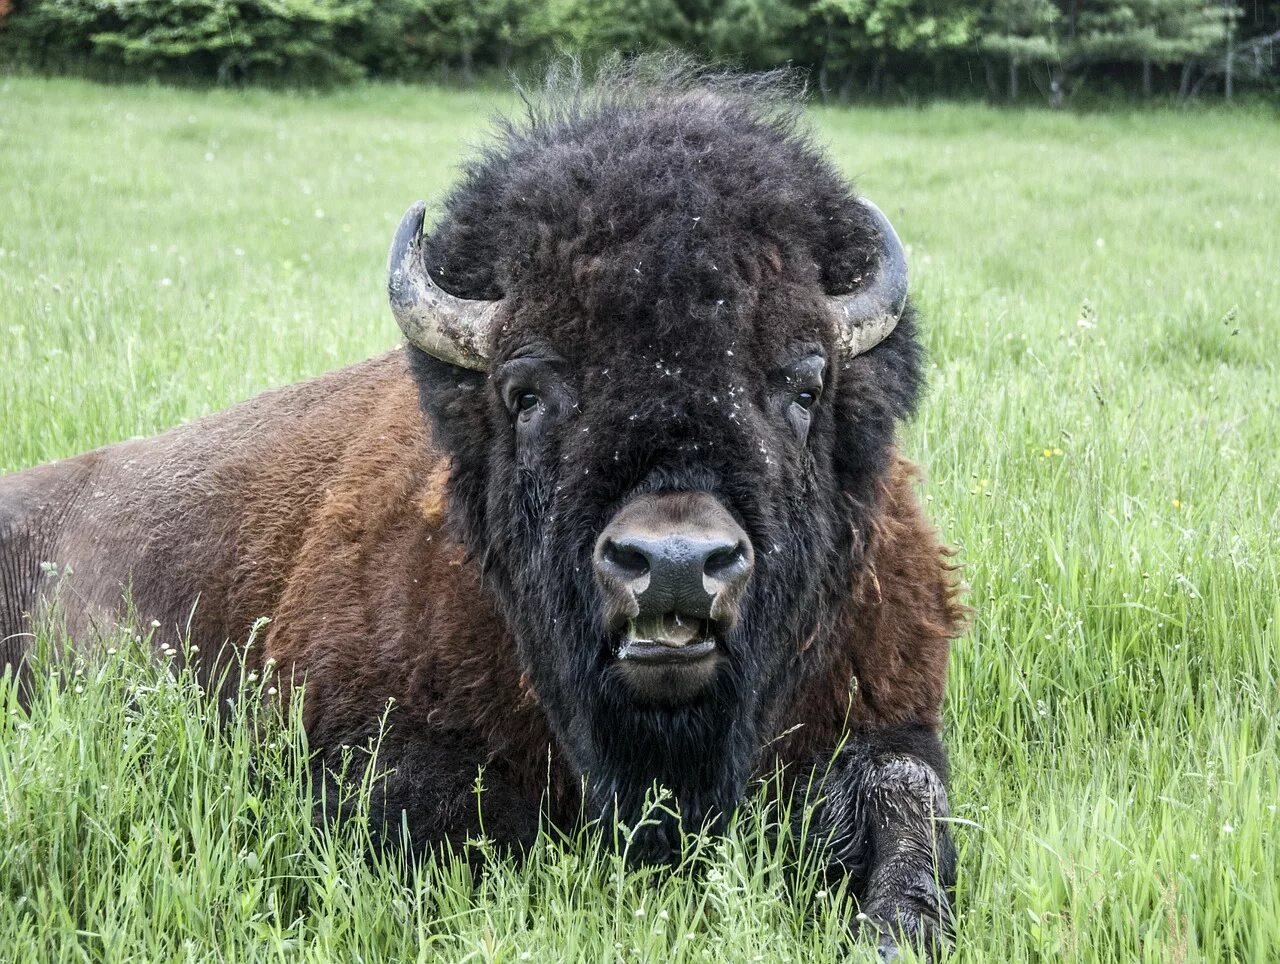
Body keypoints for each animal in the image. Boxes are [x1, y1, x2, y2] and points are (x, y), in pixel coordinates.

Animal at [0, 69, 962, 957]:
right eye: (526, 390)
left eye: (803, 384)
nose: (676, 563)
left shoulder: (885, 711)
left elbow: (907, 798)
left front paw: (898, 929)